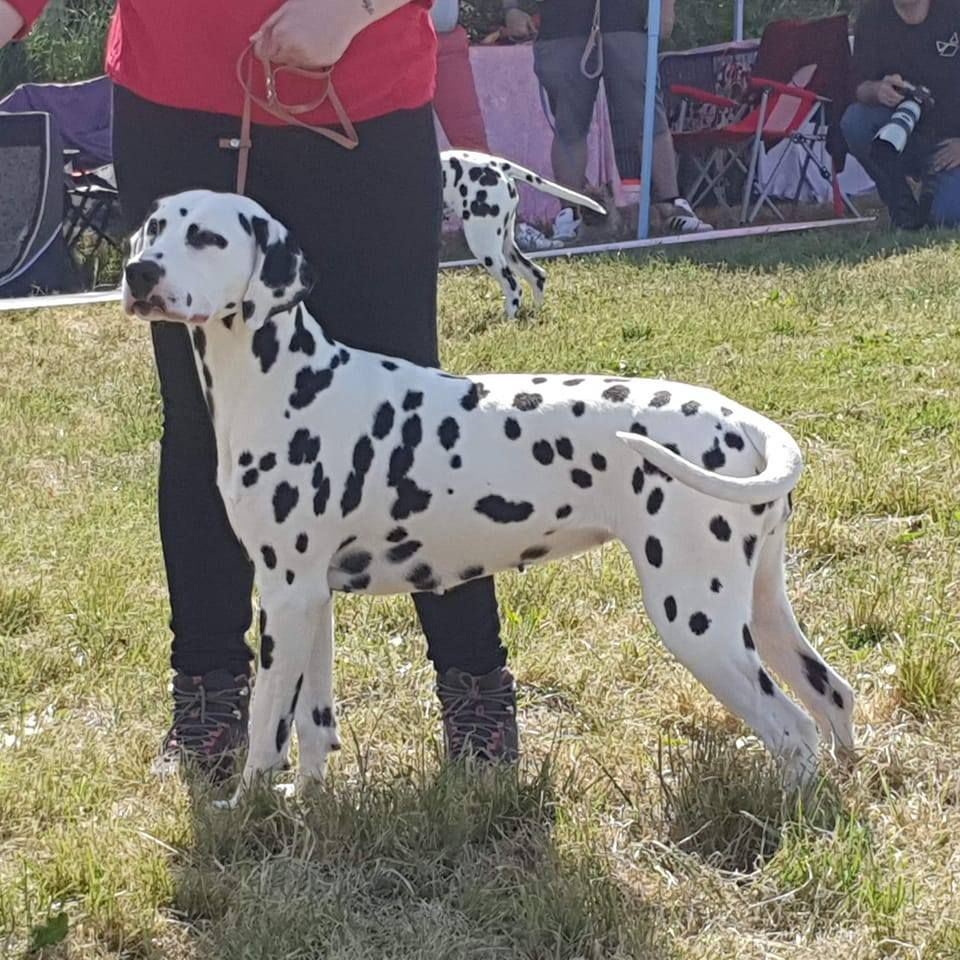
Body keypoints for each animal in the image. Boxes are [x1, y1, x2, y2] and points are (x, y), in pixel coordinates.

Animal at [122, 189, 856, 808]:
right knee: (834, 696)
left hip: (697, 621)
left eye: (207, 237)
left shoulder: (282, 596)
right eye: (154, 228)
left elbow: (269, 724)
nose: (137, 272)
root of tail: (744, 421)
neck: (286, 383)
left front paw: (247, 811)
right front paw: (307, 799)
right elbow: (313, 722)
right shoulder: (308, 597)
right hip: (760, 609)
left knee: (793, 730)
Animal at [440, 147, 604, 318]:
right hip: (506, 247)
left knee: (514, 288)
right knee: (537, 276)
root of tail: (498, 165)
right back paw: (535, 313)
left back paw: (508, 321)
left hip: (485, 246)